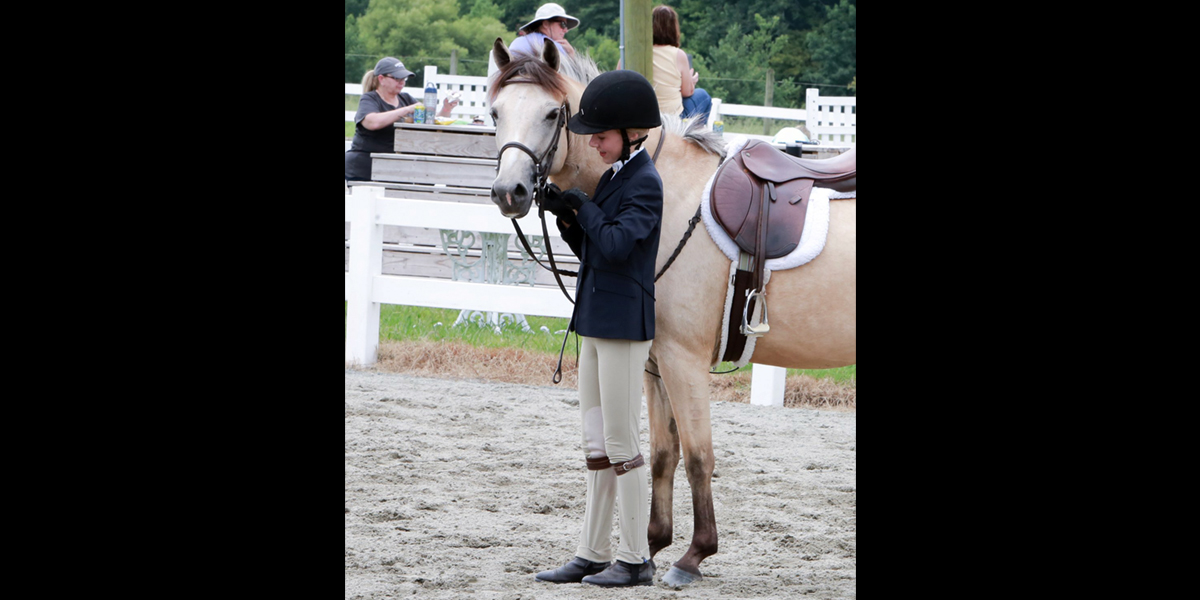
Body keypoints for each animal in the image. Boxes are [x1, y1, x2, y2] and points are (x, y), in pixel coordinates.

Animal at [487, 38, 856, 587]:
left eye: (552, 113)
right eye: (495, 112)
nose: (508, 193)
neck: (669, 194)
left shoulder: (684, 361)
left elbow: (699, 456)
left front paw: (693, 556)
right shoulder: (653, 362)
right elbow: (662, 454)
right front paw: (650, 547)